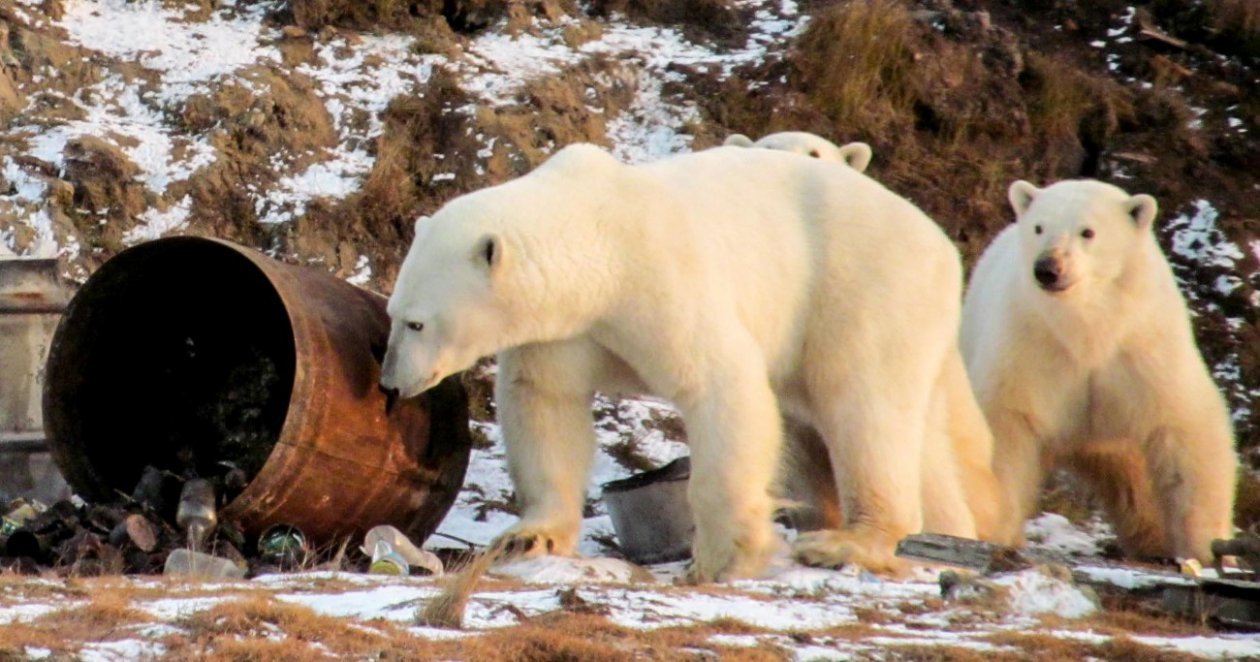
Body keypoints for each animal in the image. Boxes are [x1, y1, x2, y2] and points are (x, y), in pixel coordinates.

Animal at [380, 143, 982, 577]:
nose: (389, 384)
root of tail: (940, 242)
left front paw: (725, 556)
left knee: (863, 405)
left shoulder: (661, 279)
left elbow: (722, 386)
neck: (600, 240)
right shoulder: (564, 327)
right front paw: (528, 537)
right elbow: (544, 401)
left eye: (416, 322)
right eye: (391, 313)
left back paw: (845, 543)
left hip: (860, 289)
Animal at [957, 177, 1234, 559]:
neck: (1089, 329)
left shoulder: (1142, 348)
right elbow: (1006, 423)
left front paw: (1206, 547)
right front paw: (992, 528)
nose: (1048, 268)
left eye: (1087, 232)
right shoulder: (1030, 344)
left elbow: (1186, 429)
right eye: (1039, 227)